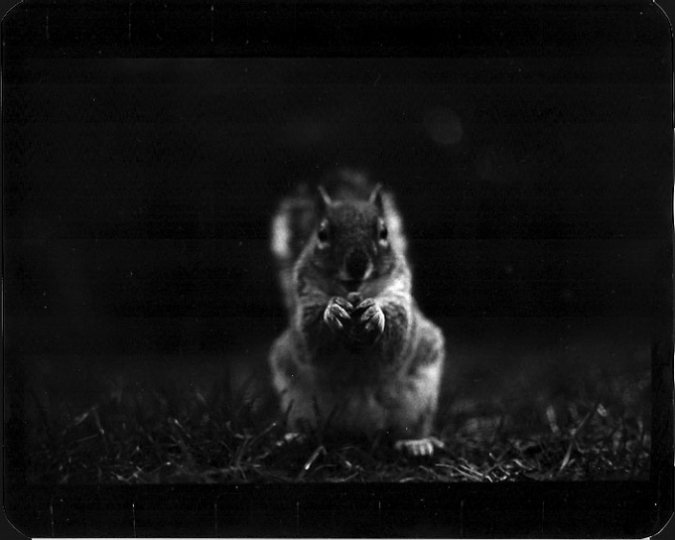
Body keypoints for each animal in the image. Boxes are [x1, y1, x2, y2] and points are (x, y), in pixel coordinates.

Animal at [266, 169, 446, 456]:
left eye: (384, 232)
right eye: (322, 234)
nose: (357, 264)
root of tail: (360, 430)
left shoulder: (399, 297)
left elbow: (397, 338)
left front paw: (376, 312)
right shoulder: (305, 303)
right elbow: (313, 341)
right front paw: (332, 310)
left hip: (420, 397)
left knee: (410, 428)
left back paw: (417, 442)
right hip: (296, 398)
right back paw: (297, 438)